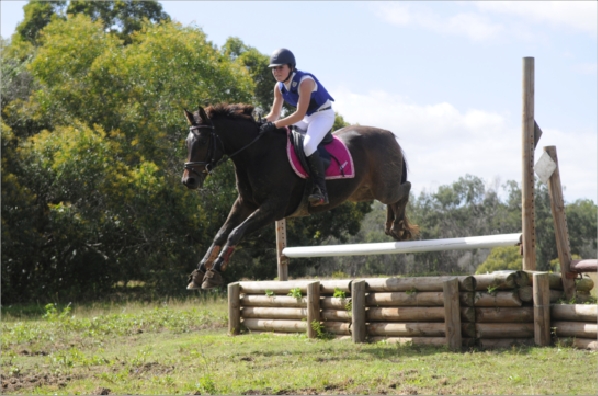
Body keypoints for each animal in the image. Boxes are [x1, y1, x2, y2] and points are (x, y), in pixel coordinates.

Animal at [180, 103, 420, 290]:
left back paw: (398, 227)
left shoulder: (274, 207)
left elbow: (236, 232)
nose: (188, 181)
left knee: (404, 189)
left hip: (383, 188)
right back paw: (392, 226)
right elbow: (221, 233)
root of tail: (390, 135)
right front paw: (199, 272)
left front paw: (215, 270)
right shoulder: (245, 203)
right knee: (394, 199)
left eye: (203, 142)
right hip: (364, 192)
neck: (256, 152)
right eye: (187, 142)